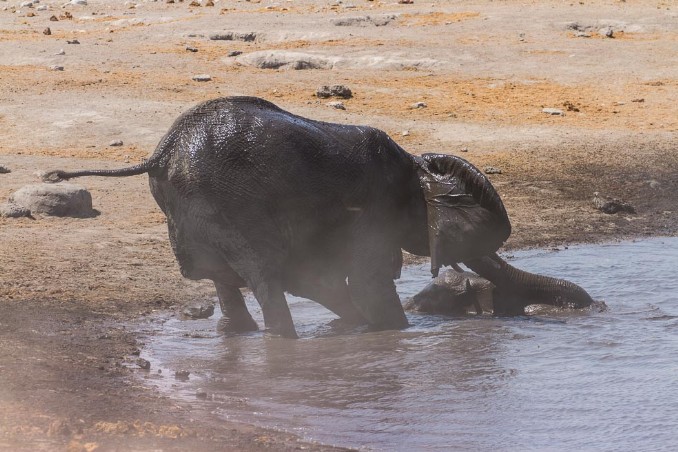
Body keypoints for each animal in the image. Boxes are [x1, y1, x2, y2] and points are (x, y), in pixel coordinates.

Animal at [43, 96, 516, 336]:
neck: (413, 166)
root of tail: (161, 151)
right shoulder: (374, 212)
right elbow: (366, 284)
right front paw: (387, 333)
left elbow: (324, 282)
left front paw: (353, 326)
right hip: (230, 207)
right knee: (264, 275)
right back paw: (281, 339)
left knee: (225, 275)